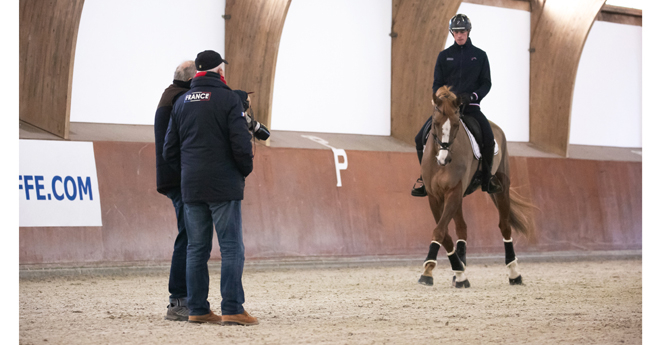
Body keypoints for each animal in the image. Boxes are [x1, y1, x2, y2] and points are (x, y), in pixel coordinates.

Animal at [418, 86, 536, 288]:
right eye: (435, 123)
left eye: (456, 124)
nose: (443, 159)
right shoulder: (435, 196)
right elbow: (445, 233)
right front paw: (458, 272)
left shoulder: (454, 191)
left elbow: (440, 230)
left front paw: (428, 271)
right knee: (462, 228)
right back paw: (460, 268)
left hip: (501, 187)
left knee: (505, 226)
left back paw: (514, 273)